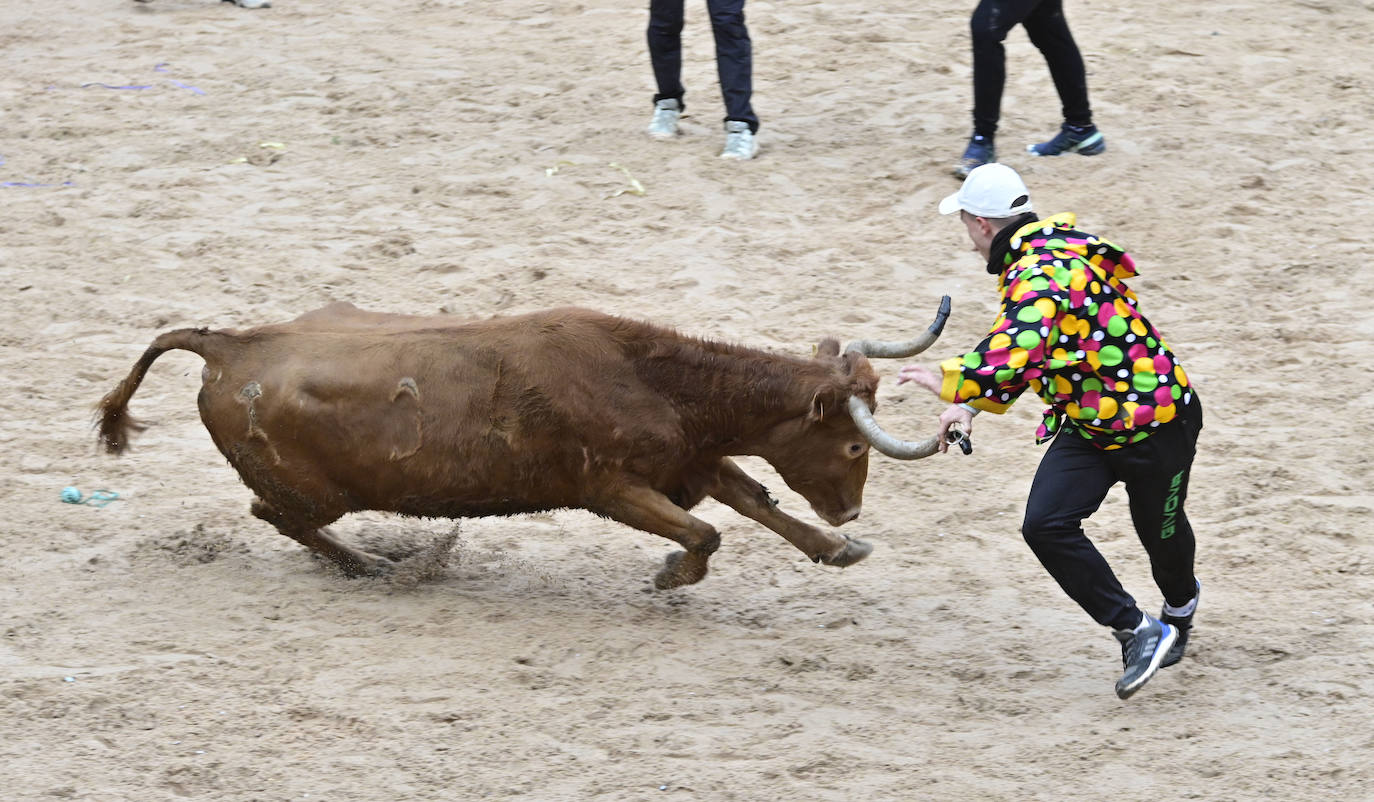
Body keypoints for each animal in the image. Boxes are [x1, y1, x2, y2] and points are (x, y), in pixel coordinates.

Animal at [94, 302, 945, 587]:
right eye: (854, 448)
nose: (851, 513)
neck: (647, 375)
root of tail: (227, 346)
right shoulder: (611, 490)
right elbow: (705, 531)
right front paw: (671, 576)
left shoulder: (688, 462)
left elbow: (754, 500)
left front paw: (834, 551)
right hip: (313, 490)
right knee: (278, 516)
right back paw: (383, 565)